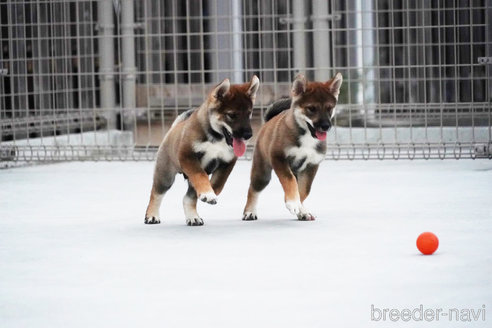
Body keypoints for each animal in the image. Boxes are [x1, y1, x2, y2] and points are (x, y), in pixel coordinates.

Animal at [146, 76, 260, 226]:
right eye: (231, 115)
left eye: (249, 113)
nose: (248, 135)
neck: (216, 138)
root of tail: (173, 129)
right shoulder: (188, 156)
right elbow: (199, 175)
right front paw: (207, 193)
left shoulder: (227, 162)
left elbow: (218, 183)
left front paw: (209, 192)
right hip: (165, 175)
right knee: (156, 194)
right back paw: (152, 216)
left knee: (187, 197)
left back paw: (193, 217)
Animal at [242, 72, 342, 220]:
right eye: (311, 109)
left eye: (330, 108)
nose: (326, 126)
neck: (307, 137)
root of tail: (268, 122)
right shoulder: (279, 157)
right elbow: (289, 180)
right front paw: (293, 203)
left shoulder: (311, 165)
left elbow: (304, 190)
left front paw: (300, 208)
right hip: (262, 172)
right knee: (253, 189)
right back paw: (249, 212)